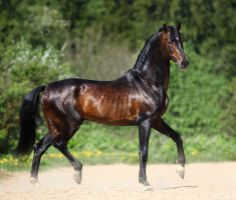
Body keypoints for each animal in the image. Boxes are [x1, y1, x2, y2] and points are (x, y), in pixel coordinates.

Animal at [16, 23, 188, 188]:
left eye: (181, 40)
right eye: (170, 41)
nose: (184, 62)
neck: (147, 82)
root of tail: (47, 88)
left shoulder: (156, 120)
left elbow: (177, 137)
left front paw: (180, 170)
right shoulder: (145, 122)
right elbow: (143, 151)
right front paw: (145, 183)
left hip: (55, 126)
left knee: (40, 147)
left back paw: (36, 182)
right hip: (70, 124)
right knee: (59, 144)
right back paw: (77, 173)